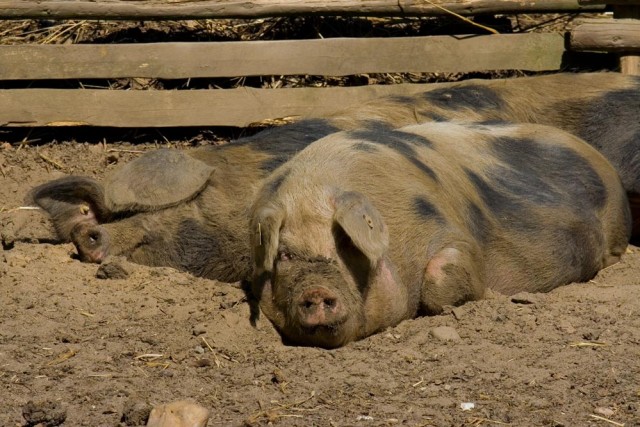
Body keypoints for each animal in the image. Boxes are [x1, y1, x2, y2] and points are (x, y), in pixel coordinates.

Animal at [250, 122, 632, 350]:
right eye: (285, 255)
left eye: (345, 244)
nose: (316, 290)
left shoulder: (458, 237)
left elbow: (440, 280)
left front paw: (492, 294)